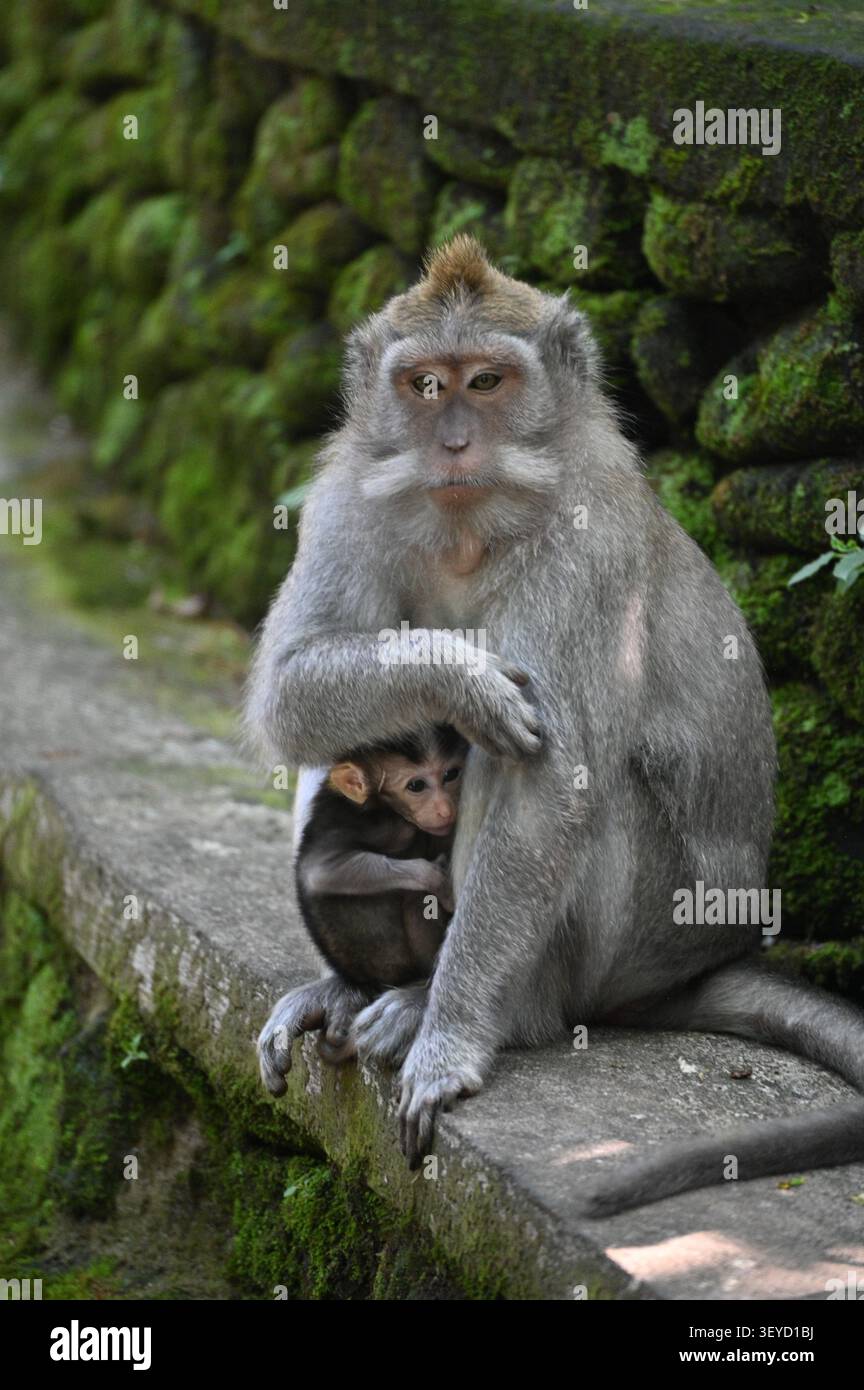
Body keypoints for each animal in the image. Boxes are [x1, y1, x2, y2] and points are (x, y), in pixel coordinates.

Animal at [295, 725, 467, 1016]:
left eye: (451, 775)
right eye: (416, 786)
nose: (445, 811)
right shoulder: (382, 825)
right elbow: (319, 872)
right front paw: (438, 880)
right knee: (417, 899)